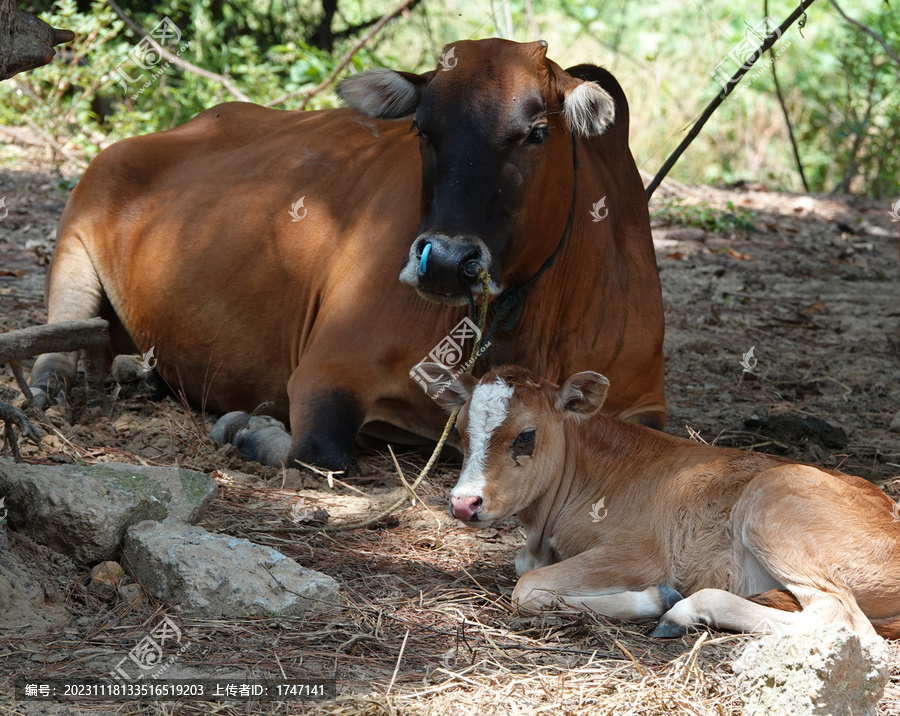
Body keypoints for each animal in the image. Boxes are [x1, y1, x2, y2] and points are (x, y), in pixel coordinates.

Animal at [31, 42, 664, 472]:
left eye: (536, 132)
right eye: (421, 129)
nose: (445, 260)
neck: (528, 321)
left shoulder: (643, 402)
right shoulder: (326, 371)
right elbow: (317, 450)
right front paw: (244, 428)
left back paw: (142, 375)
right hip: (75, 235)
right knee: (58, 343)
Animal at [420, 364, 900, 636]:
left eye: (526, 435)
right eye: (459, 431)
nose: (464, 502)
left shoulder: (640, 554)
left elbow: (529, 587)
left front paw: (654, 599)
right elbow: (526, 573)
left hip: (772, 502)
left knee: (839, 618)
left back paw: (683, 611)